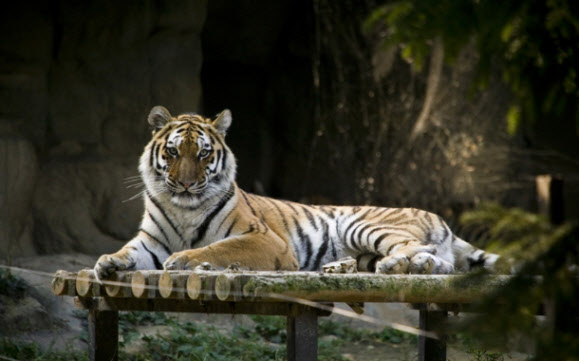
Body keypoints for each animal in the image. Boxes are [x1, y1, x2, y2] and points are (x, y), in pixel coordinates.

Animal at [93, 105, 500, 280]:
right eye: (174, 152)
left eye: (204, 153)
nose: (187, 184)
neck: (184, 207)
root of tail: (440, 217)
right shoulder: (151, 241)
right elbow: (129, 252)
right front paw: (108, 262)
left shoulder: (264, 238)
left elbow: (217, 247)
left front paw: (187, 260)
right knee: (439, 264)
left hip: (362, 224)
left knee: (422, 252)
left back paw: (394, 265)